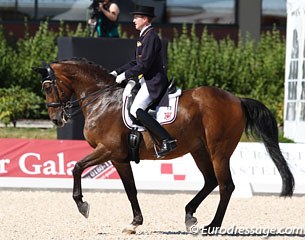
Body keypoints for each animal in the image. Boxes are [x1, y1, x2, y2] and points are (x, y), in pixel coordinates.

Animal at [32, 58, 292, 234]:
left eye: (47, 87)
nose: (56, 120)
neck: (100, 99)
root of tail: (237, 99)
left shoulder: (108, 150)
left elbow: (76, 167)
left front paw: (82, 205)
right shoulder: (118, 157)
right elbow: (130, 189)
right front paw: (134, 223)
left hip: (219, 151)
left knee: (226, 185)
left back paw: (212, 225)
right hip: (198, 150)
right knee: (211, 181)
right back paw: (190, 214)